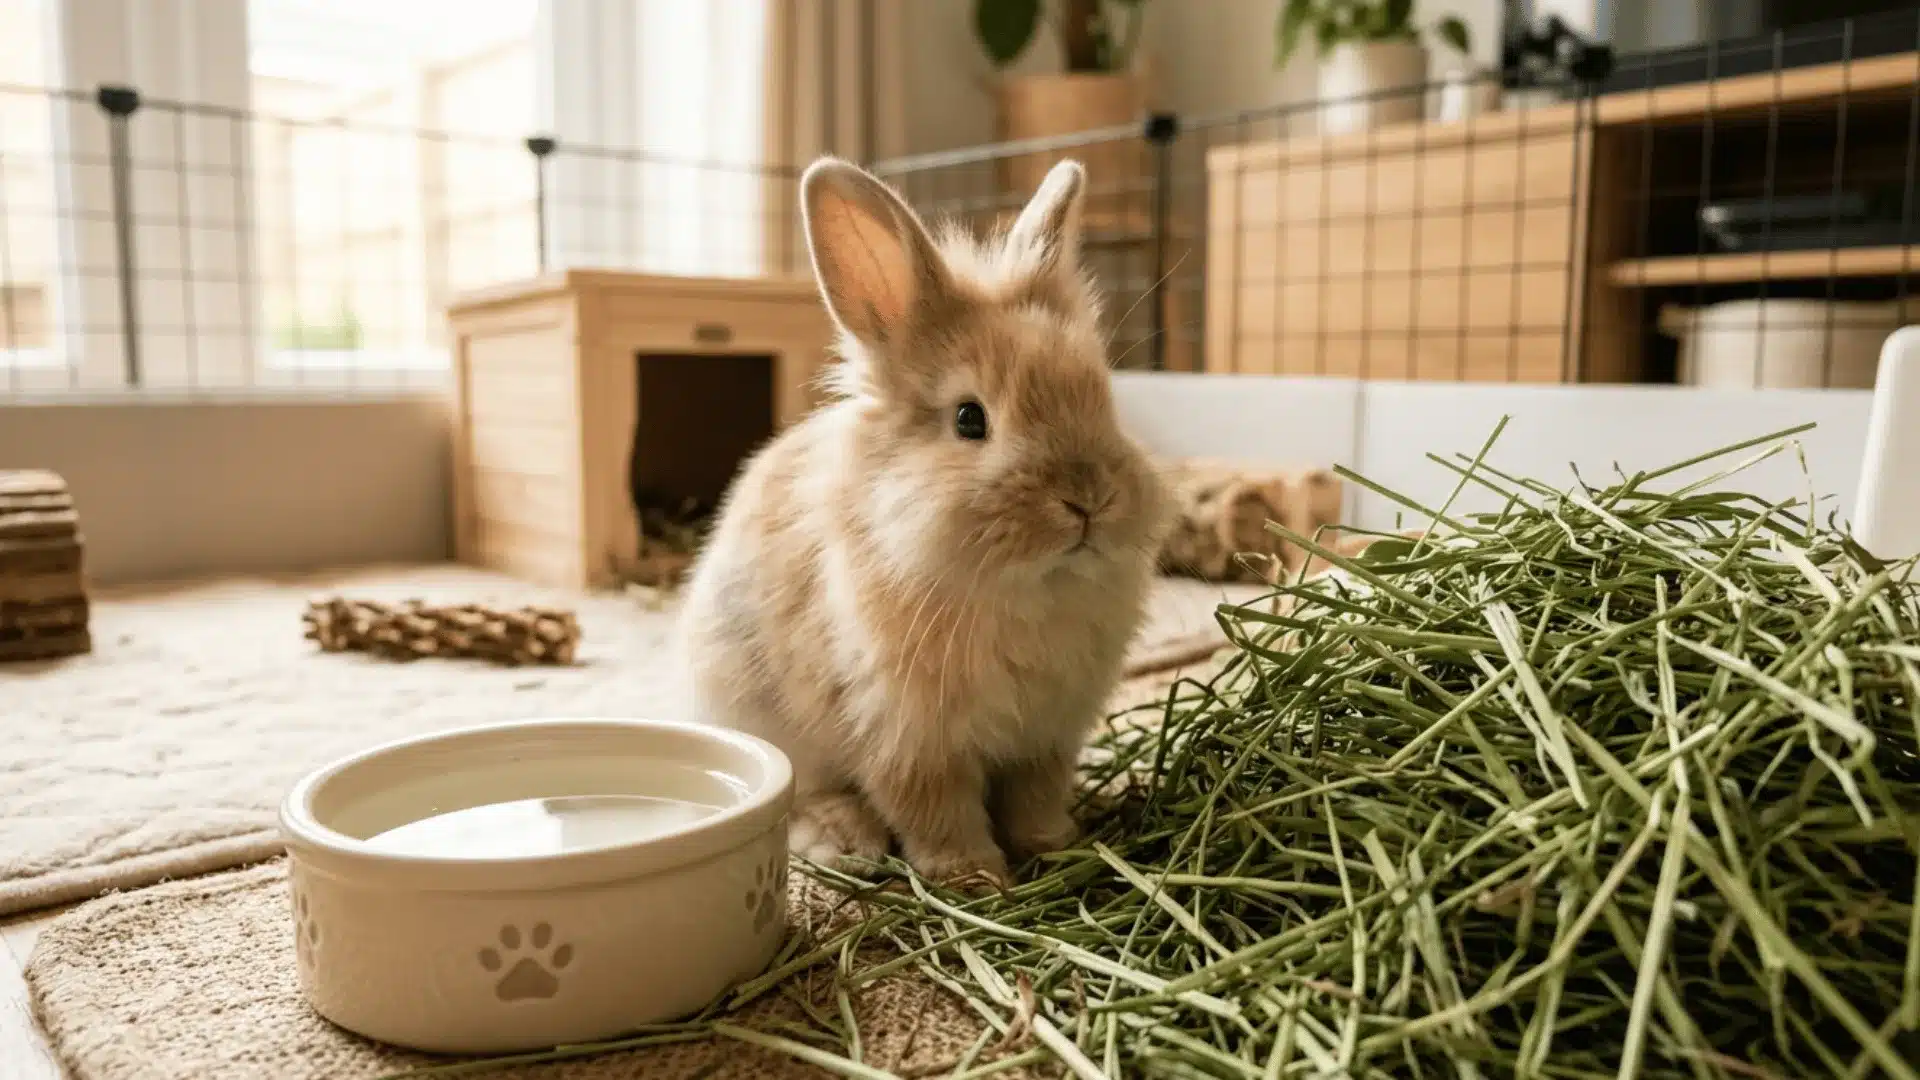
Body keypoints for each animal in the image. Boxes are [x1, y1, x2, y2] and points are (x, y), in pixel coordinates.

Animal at [673, 155, 1173, 888]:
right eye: (970, 419)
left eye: (1103, 400)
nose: (1088, 501)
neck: (1025, 586)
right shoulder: (909, 741)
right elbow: (938, 813)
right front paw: (977, 880)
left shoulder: (1047, 739)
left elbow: (1036, 799)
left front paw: (1058, 847)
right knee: (806, 794)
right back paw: (843, 839)